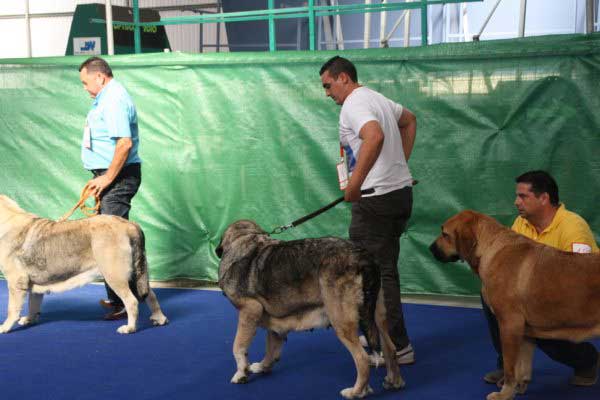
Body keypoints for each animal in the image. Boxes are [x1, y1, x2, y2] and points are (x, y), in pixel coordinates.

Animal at [0, 194, 168, 334]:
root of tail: (130, 225)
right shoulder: (35, 284)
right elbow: (33, 304)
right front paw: (29, 319)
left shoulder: (15, 282)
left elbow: (12, 309)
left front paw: (5, 327)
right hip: (137, 274)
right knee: (150, 294)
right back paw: (159, 318)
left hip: (115, 276)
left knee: (132, 301)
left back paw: (130, 328)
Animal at [214, 220, 404, 398]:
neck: (246, 239)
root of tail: (363, 257)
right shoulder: (276, 324)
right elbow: (271, 348)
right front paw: (262, 366)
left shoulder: (249, 310)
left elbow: (238, 346)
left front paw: (241, 373)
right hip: (378, 317)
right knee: (390, 348)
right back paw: (394, 381)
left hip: (342, 322)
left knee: (363, 359)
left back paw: (356, 392)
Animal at [428, 211, 600, 398]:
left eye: (445, 234)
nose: (430, 248)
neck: (490, 247)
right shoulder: (524, 332)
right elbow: (522, 367)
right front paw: (518, 388)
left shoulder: (509, 325)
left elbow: (510, 367)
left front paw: (504, 394)